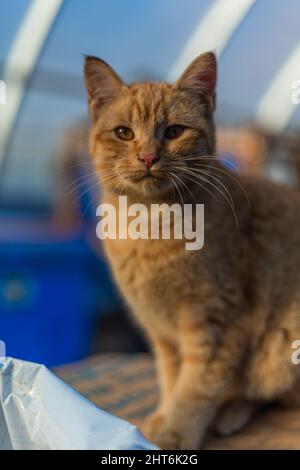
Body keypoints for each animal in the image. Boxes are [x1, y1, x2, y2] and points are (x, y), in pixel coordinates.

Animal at [83, 51, 300, 448]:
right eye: (124, 133)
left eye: (174, 132)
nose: (148, 157)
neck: (149, 228)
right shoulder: (163, 333)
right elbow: (172, 379)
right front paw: (164, 415)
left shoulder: (218, 321)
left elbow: (196, 386)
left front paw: (175, 433)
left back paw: (230, 413)